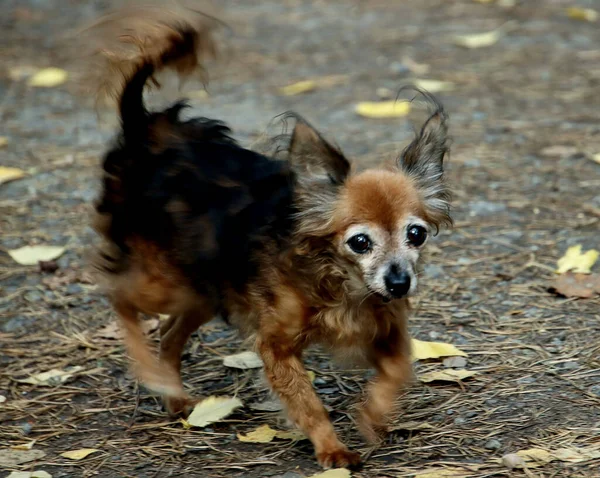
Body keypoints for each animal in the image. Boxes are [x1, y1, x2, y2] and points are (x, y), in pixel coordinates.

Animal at [90, 9, 450, 468]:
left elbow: (397, 371)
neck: (338, 282)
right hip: (164, 282)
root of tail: (146, 130)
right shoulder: (276, 346)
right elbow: (307, 403)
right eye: (360, 242)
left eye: (415, 234)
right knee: (119, 296)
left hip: (204, 289)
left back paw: (174, 396)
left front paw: (372, 417)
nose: (400, 282)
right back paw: (150, 373)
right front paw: (332, 449)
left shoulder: (385, 328)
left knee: (168, 335)